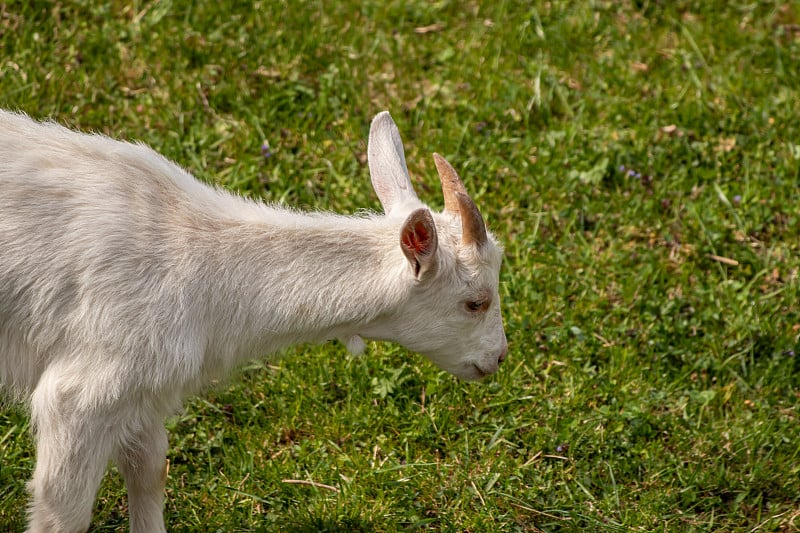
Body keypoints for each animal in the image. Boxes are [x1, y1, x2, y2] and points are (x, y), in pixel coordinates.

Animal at [1, 110, 506, 528]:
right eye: (476, 302)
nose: (499, 357)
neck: (201, 268)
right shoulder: (83, 394)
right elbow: (64, 509)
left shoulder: (143, 392)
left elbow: (149, 471)